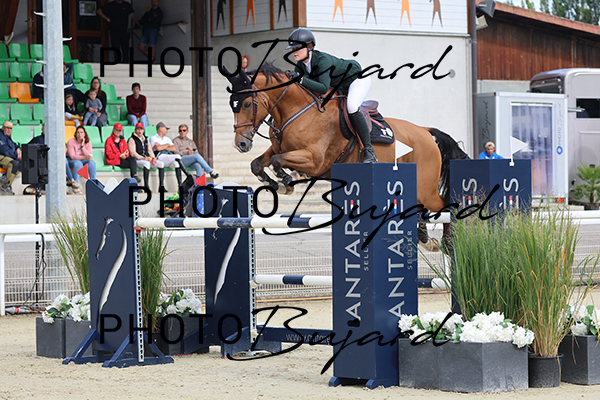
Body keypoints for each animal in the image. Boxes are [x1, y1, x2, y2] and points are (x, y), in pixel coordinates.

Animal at [225, 62, 469, 250]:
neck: (295, 109)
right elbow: (258, 163)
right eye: (232, 106)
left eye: (247, 103)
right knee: (420, 208)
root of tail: (425, 132)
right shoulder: (278, 148)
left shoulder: (314, 160)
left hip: (426, 187)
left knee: (445, 204)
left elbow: (277, 162)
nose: (240, 144)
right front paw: (275, 183)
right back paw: (425, 239)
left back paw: (447, 243)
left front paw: (286, 181)